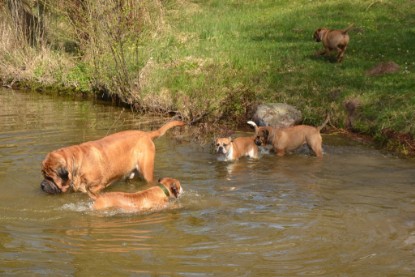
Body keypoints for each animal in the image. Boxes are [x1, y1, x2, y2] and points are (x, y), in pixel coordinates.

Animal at [39, 120, 186, 194]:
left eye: (50, 178)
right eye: (43, 175)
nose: (42, 185)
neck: (76, 163)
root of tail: (146, 134)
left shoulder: (96, 187)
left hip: (146, 171)